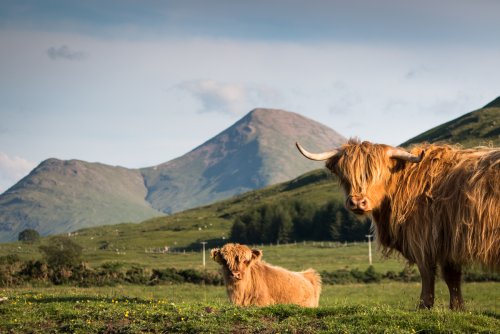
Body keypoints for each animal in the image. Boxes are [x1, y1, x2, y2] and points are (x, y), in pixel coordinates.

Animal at [294, 139, 498, 310]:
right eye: (346, 176)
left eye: (377, 175)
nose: (358, 202)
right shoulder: (448, 242)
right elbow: (452, 277)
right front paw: (457, 308)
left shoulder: (423, 239)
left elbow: (428, 273)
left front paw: (423, 306)